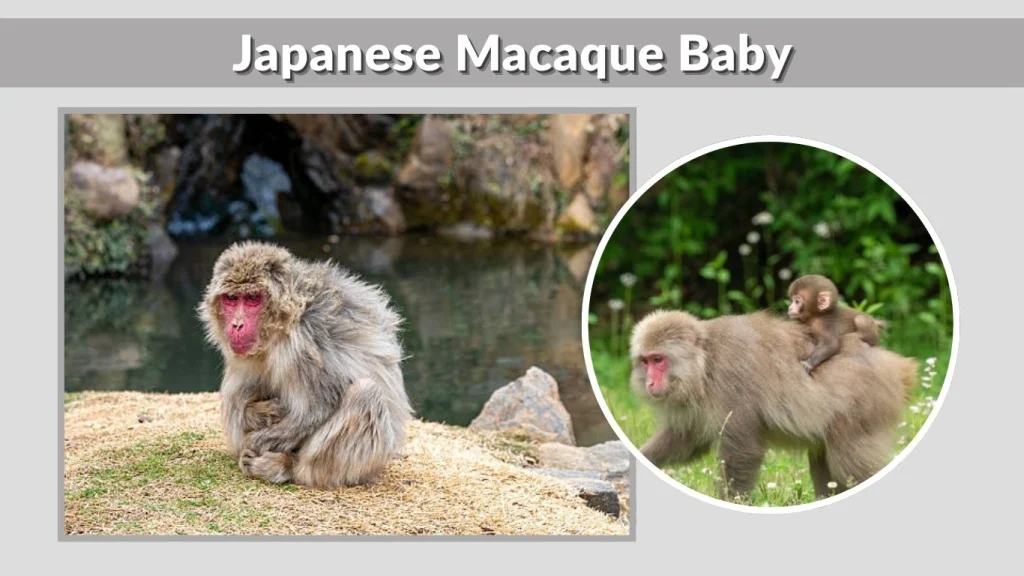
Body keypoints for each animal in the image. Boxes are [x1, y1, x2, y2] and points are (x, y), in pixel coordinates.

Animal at [197, 240, 414, 489]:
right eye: (231, 299)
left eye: (252, 298)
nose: (237, 324)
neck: (286, 322)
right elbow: (237, 404)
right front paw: (257, 414)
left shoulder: (305, 342)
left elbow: (317, 407)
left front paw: (257, 440)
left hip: (371, 461)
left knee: (366, 393)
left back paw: (289, 467)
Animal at [629, 309, 917, 502]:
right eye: (645, 361)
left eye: (658, 360)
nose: (650, 383)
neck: (704, 364)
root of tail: (897, 366)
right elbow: (688, 439)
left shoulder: (730, 382)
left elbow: (743, 451)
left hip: (864, 406)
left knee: (850, 467)